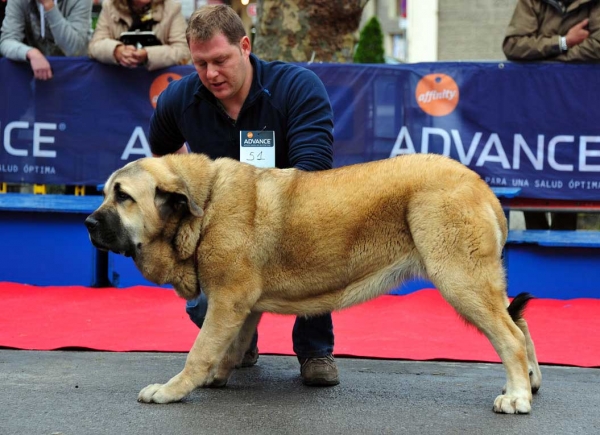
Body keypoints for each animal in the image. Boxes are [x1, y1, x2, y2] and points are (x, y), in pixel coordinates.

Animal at [85, 154, 544, 416]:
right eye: (105, 192)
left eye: (123, 196)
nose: (88, 222)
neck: (205, 205)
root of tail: (479, 183)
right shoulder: (242, 306)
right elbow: (228, 347)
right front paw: (217, 376)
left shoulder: (227, 300)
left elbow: (199, 352)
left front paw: (172, 390)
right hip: (477, 281)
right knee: (518, 323)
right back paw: (530, 383)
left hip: (459, 278)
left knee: (508, 335)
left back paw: (517, 397)